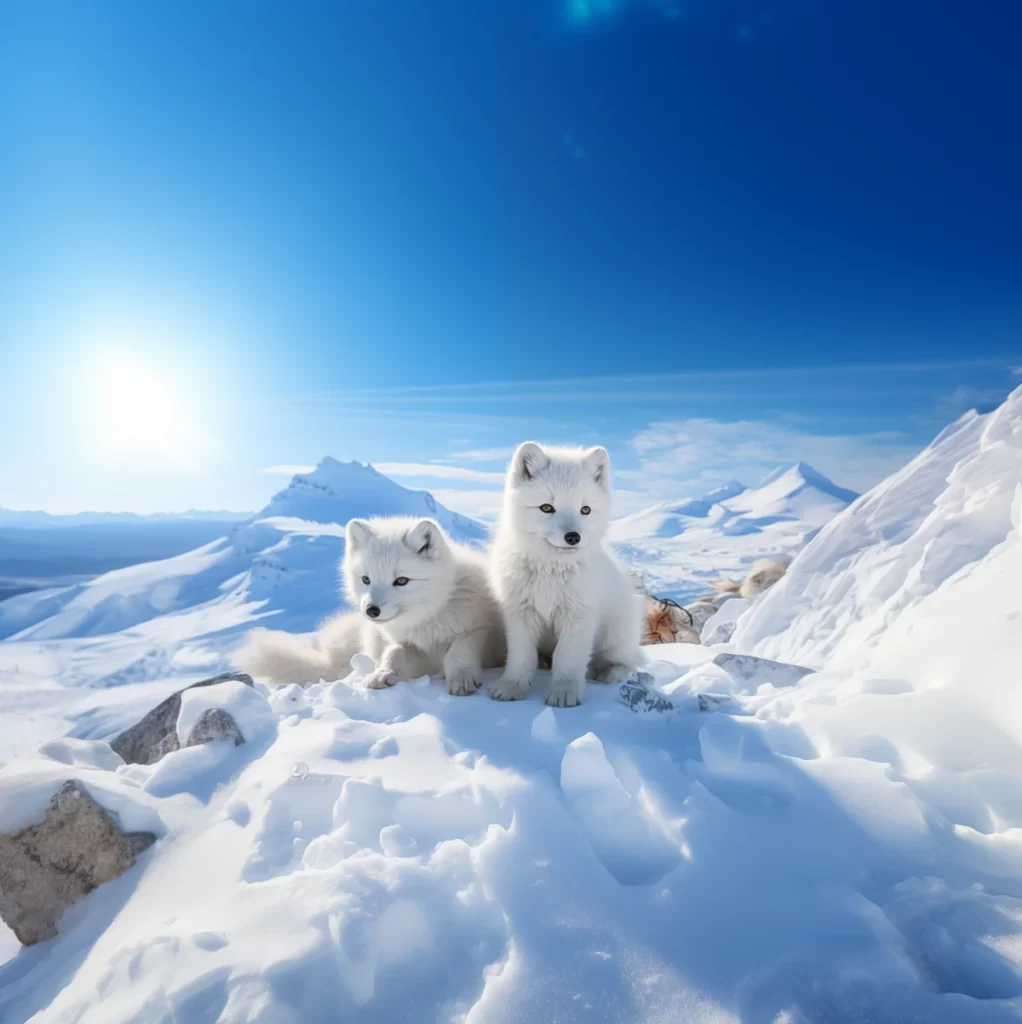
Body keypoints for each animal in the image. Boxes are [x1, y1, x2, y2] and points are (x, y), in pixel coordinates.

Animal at [233, 516, 505, 694]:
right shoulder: (410, 646)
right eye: (366, 579)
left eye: (401, 580)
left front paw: (461, 678)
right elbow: (395, 652)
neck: (429, 616)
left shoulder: (483, 632)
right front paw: (384, 673)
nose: (371, 611)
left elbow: (460, 648)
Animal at [488, 442, 641, 707]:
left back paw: (610, 673)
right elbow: (521, 656)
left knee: (626, 662)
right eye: (547, 508)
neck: (550, 570)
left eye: (585, 509)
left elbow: (567, 658)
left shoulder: (578, 616)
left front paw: (564, 692)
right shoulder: (519, 614)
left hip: (616, 635)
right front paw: (513, 686)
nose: (573, 537)